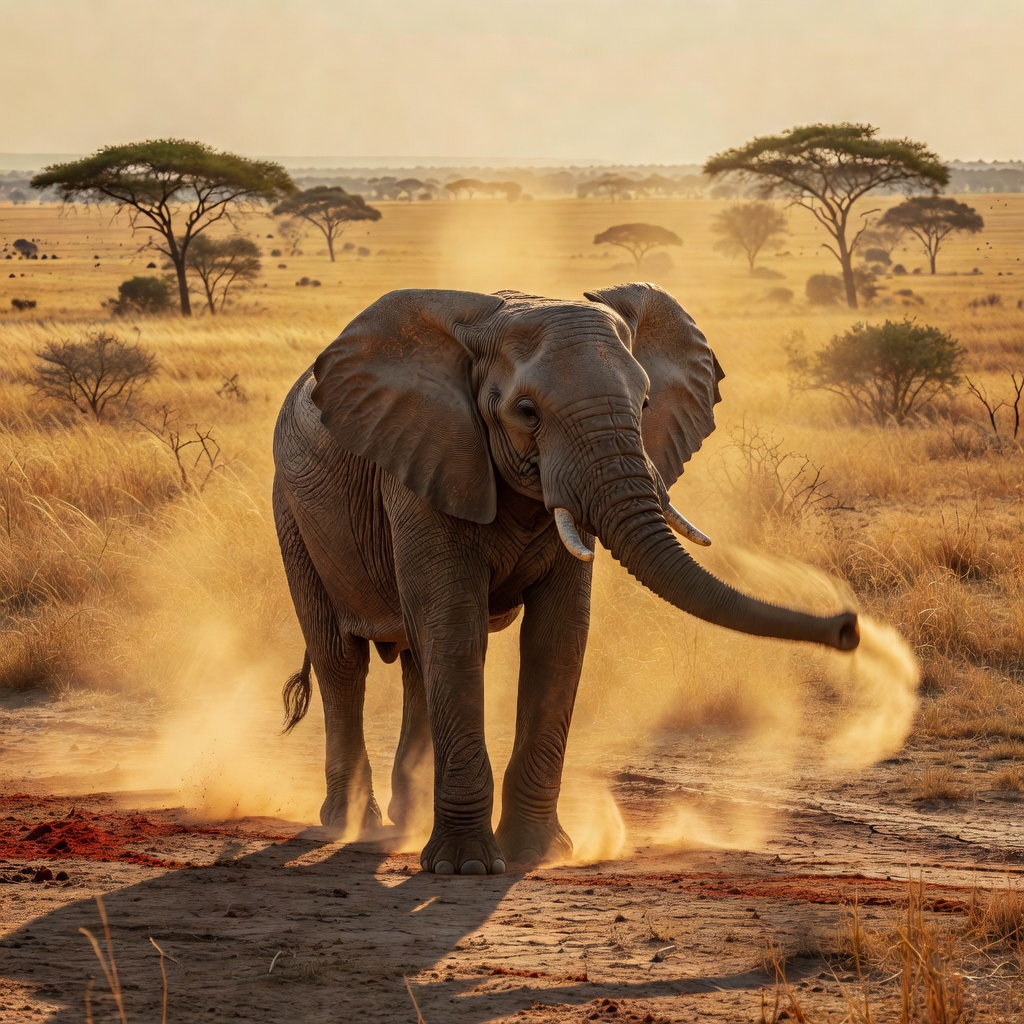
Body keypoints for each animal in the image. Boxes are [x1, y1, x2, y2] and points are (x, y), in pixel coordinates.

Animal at [272, 283, 859, 876]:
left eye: (645, 405)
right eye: (527, 411)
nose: (849, 627)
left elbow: (556, 637)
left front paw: (538, 854)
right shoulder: (429, 462)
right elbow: (455, 631)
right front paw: (466, 868)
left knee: (416, 661)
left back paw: (406, 820)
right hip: (291, 512)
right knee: (342, 661)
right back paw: (352, 823)